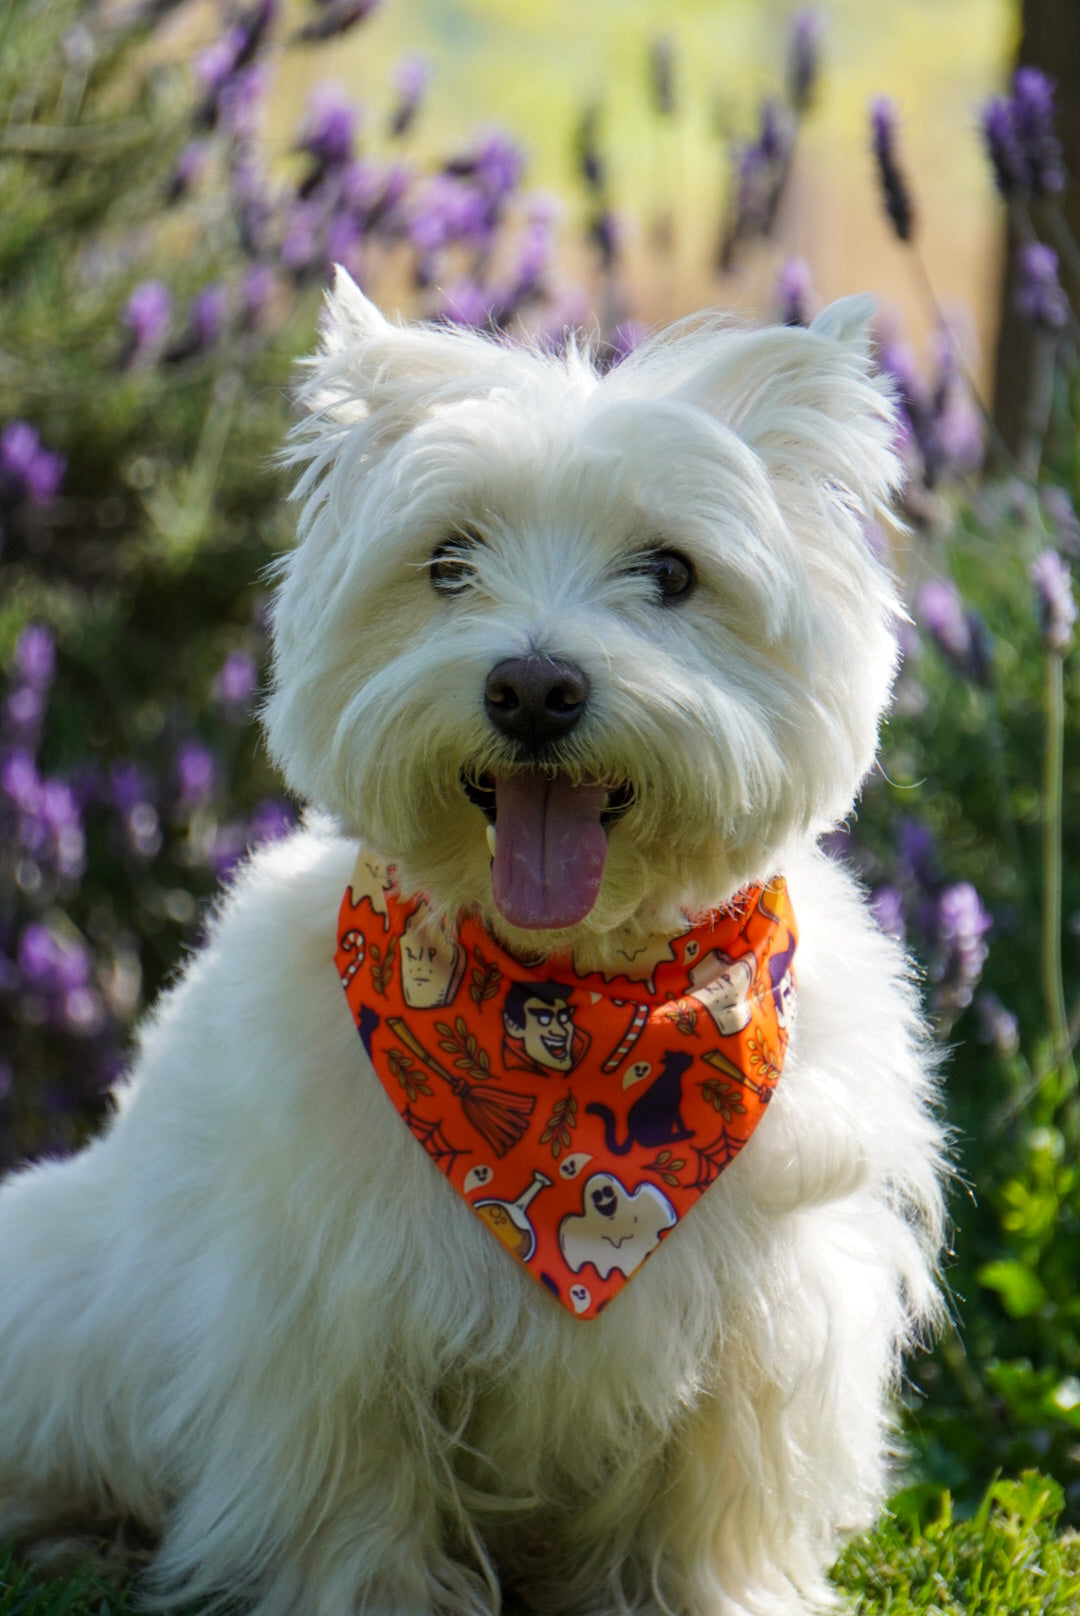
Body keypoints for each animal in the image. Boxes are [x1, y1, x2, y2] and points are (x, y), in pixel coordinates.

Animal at [0, 277, 944, 1616]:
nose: (533, 689)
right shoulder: (333, 1334)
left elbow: (713, 1518)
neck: (569, 1002)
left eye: (672, 570)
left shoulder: (766, 1334)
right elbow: (356, 1512)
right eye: (448, 562)